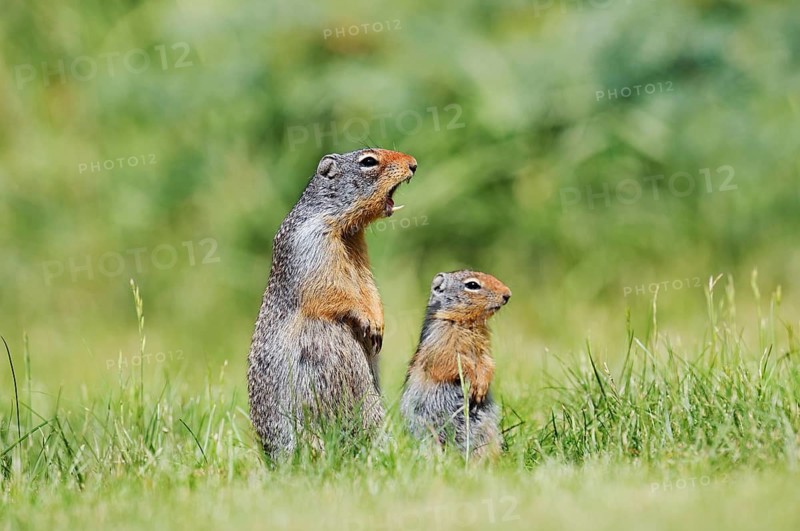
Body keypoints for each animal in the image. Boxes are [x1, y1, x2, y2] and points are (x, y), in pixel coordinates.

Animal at [247, 148, 417, 458]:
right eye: (368, 161)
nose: (413, 164)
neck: (343, 228)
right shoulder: (312, 244)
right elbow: (330, 290)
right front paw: (369, 321)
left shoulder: (359, 250)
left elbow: (368, 285)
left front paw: (378, 324)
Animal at [400, 270, 511, 459]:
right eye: (472, 285)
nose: (507, 294)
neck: (468, 324)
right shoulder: (442, 342)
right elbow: (454, 362)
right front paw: (474, 382)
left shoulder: (484, 348)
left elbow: (487, 363)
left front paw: (482, 386)